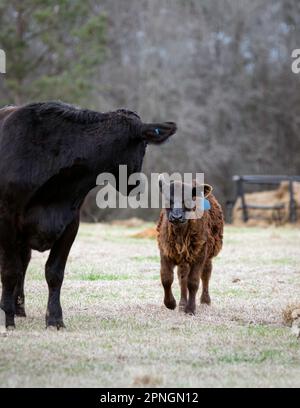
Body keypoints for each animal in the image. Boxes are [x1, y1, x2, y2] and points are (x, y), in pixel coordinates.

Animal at [0, 102, 176, 332]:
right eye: (144, 145)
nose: (136, 184)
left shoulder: (71, 223)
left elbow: (54, 272)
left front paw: (55, 319)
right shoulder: (8, 220)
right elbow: (9, 271)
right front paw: (8, 320)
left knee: (24, 262)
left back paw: (19, 307)